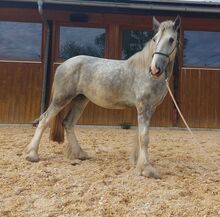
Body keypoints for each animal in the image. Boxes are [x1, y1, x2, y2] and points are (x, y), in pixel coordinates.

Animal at [26, 17, 180, 179]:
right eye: (155, 39)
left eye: (171, 39)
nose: (155, 69)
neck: (144, 71)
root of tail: (63, 65)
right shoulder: (143, 106)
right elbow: (144, 137)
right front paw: (147, 169)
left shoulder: (149, 109)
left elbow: (139, 135)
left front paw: (137, 163)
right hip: (61, 99)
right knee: (44, 120)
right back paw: (32, 154)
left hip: (80, 100)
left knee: (68, 123)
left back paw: (80, 153)